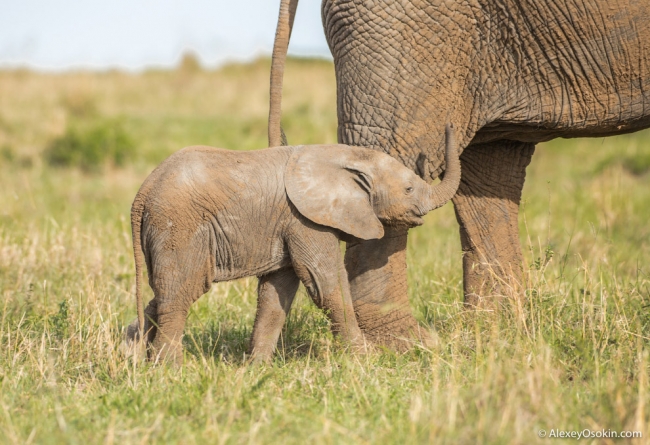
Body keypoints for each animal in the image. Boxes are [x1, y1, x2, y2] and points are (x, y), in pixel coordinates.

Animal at [128, 123, 460, 362]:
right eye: (408, 189)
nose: (450, 126)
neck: (346, 156)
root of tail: (142, 193)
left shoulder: (286, 225)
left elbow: (276, 293)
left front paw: (256, 369)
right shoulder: (305, 220)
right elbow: (325, 284)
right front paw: (366, 360)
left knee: (160, 296)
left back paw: (138, 358)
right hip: (179, 228)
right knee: (180, 294)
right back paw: (168, 370)